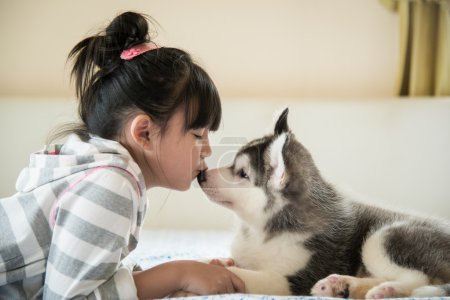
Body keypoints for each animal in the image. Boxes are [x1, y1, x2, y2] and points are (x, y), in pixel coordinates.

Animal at [198, 109, 450, 298]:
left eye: (242, 173)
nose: (201, 175)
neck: (260, 229)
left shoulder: (291, 281)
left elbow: (242, 274)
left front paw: (218, 271)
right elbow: (219, 261)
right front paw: (217, 261)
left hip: (382, 238)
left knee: (419, 278)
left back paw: (388, 289)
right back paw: (341, 285)